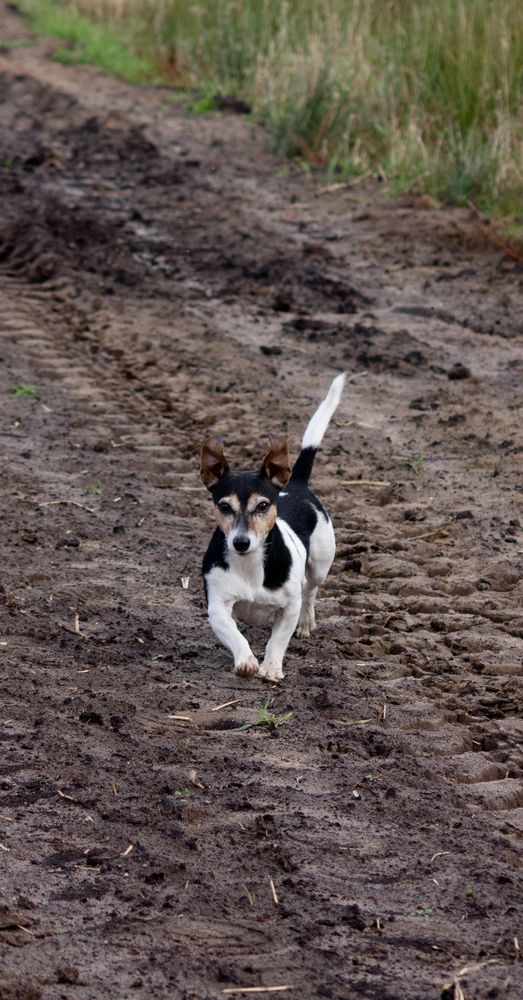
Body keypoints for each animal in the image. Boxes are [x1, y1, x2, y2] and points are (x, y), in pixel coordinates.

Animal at [199, 372, 346, 684]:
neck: (250, 565)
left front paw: (272, 668)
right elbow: (235, 634)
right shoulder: (217, 606)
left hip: (320, 564)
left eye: (263, 505)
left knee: (310, 592)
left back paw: (306, 624)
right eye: (224, 507)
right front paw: (246, 662)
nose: (241, 542)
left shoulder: (288, 607)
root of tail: (297, 483)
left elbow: (278, 640)